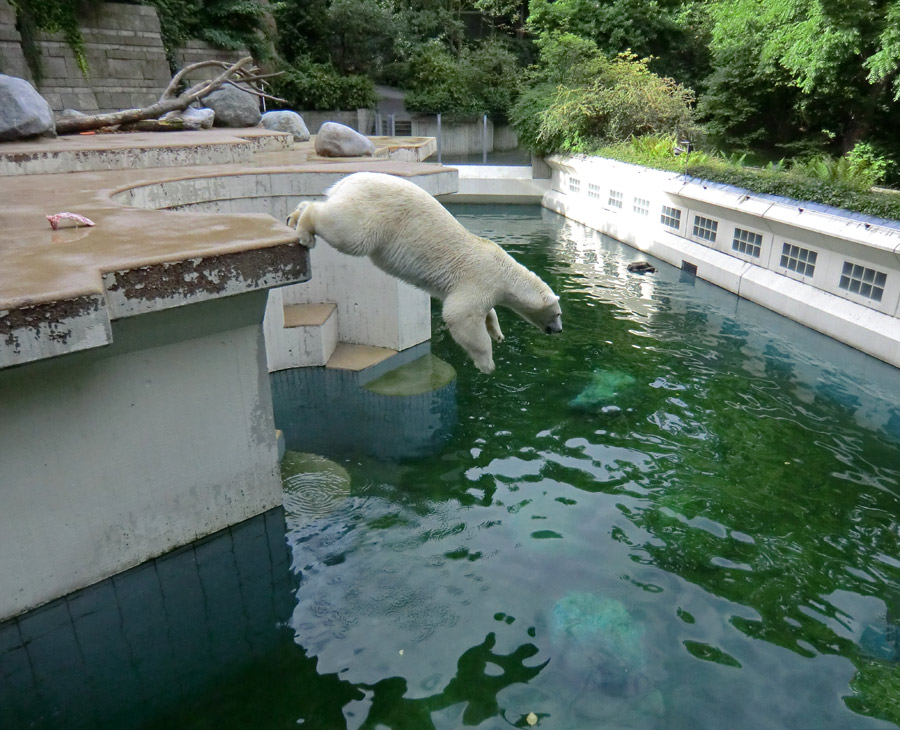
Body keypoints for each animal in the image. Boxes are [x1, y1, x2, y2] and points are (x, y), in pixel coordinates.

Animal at [288, 173, 560, 372]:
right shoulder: (480, 279)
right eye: (557, 313)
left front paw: (498, 333)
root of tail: (345, 181)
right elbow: (460, 316)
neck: (506, 272)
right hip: (372, 212)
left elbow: (483, 311)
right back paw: (305, 229)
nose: (559, 330)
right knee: (349, 232)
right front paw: (487, 364)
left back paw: (295, 214)